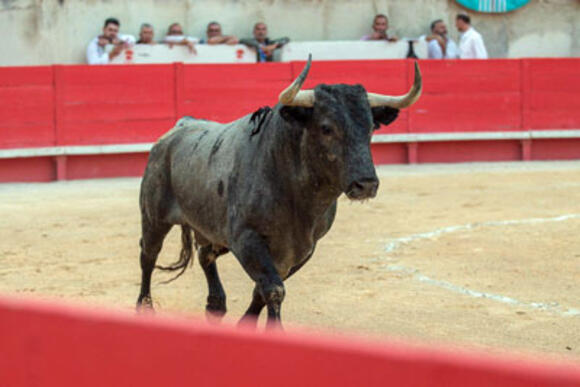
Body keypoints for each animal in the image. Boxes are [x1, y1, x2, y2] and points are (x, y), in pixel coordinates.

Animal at [137, 58, 422, 330]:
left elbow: (263, 290)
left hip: (208, 226)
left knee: (205, 254)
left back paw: (215, 306)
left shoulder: (303, 248)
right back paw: (145, 307)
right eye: (326, 128)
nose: (366, 184)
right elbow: (273, 289)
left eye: (371, 127)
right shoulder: (247, 239)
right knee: (149, 254)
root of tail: (179, 126)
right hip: (154, 217)